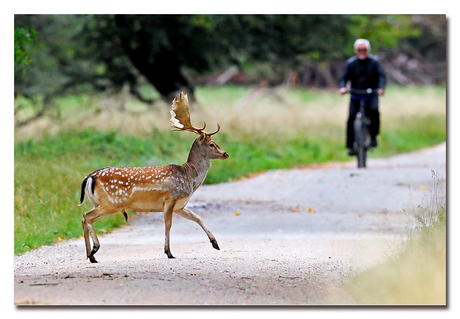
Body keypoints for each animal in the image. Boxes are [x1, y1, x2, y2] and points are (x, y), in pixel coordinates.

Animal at [81, 92, 230, 262]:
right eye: (212, 144)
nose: (226, 154)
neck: (189, 178)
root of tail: (89, 177)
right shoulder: (171, 199)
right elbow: (168, 225)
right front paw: (169, 252)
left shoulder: (180, 205)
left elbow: (198, 217)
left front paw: (215, 243)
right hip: (111, 203)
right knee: (87, 217)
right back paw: (94, 250)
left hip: (100, 203)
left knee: (85, 219)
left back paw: (90, 255)